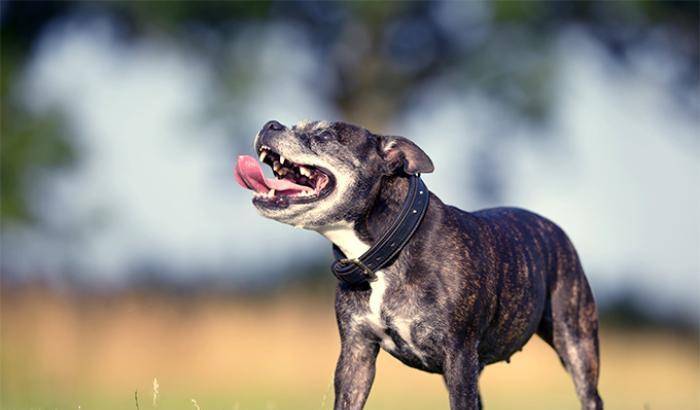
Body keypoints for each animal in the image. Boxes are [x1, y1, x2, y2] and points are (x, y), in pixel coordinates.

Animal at [234, 120, 600, 408]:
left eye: (323, 135)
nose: (271, 124)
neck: (385, 250)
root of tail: (552, 227)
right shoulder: (356, 355)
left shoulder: (459, 357)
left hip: (576, 342)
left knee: (590, 395)